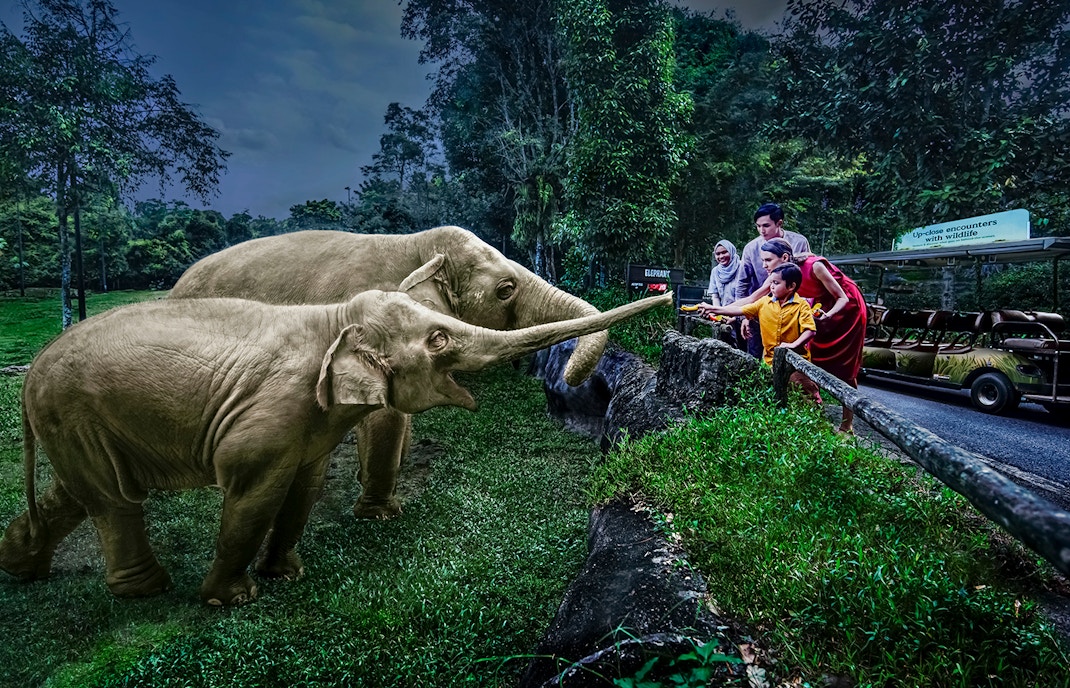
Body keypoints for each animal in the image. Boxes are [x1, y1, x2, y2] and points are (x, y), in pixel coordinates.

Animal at [0, 275, 671, 606]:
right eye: (438, 339)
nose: (665, 296)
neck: (332, 316)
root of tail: (29, 372)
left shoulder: (310, 423)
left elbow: (305, 484)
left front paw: (286, 576)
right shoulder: (270, 413)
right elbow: (252, 492)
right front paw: (232, 600)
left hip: (75, 422)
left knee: (82, 492)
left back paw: (19, 566)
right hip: (73, 412)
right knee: (115, 499)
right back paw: (149, 591)